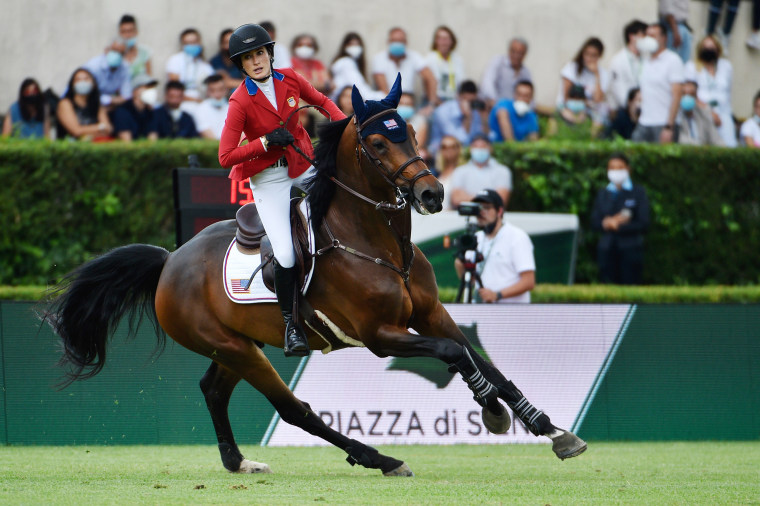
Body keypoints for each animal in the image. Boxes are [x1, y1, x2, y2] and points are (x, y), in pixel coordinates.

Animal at [44, 78, 584, 474]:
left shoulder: (432, 314)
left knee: (213, 389)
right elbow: (454, 354)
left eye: (410, 131)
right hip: (234, 347)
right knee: (293, 410)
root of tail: (170, 261)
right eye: (376, 141)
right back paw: (378, 457)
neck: (381, 244)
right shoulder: (380, 335)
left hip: (236, 345)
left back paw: (237, 462)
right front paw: (491, 411)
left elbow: (481, 359)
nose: (432, 194)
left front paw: (549, 428)